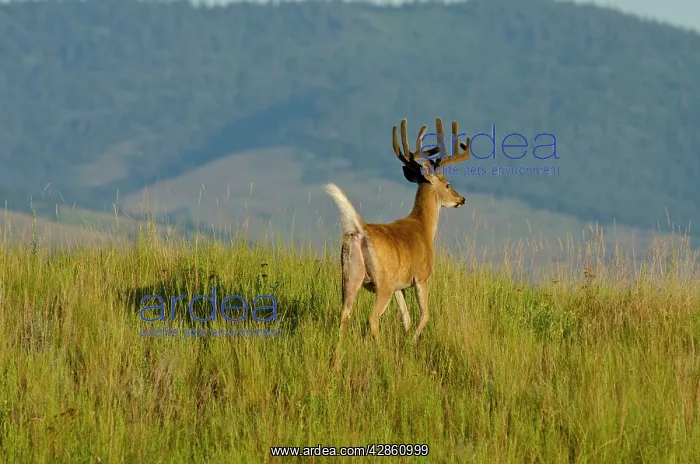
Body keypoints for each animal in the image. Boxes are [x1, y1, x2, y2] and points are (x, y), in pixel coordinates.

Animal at [324, 117, 471, 360]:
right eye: (447, 184)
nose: (462, 199)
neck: (424, 228)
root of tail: (360, 231)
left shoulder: (399, 286)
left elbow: (406, 317)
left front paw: (406, 340)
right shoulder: (421, 277)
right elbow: (424, 315)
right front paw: (411, 343)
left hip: (349, 276)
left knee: (344, 313)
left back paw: (336, 360)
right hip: (382, 282)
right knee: (372, 318)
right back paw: (381, 355)